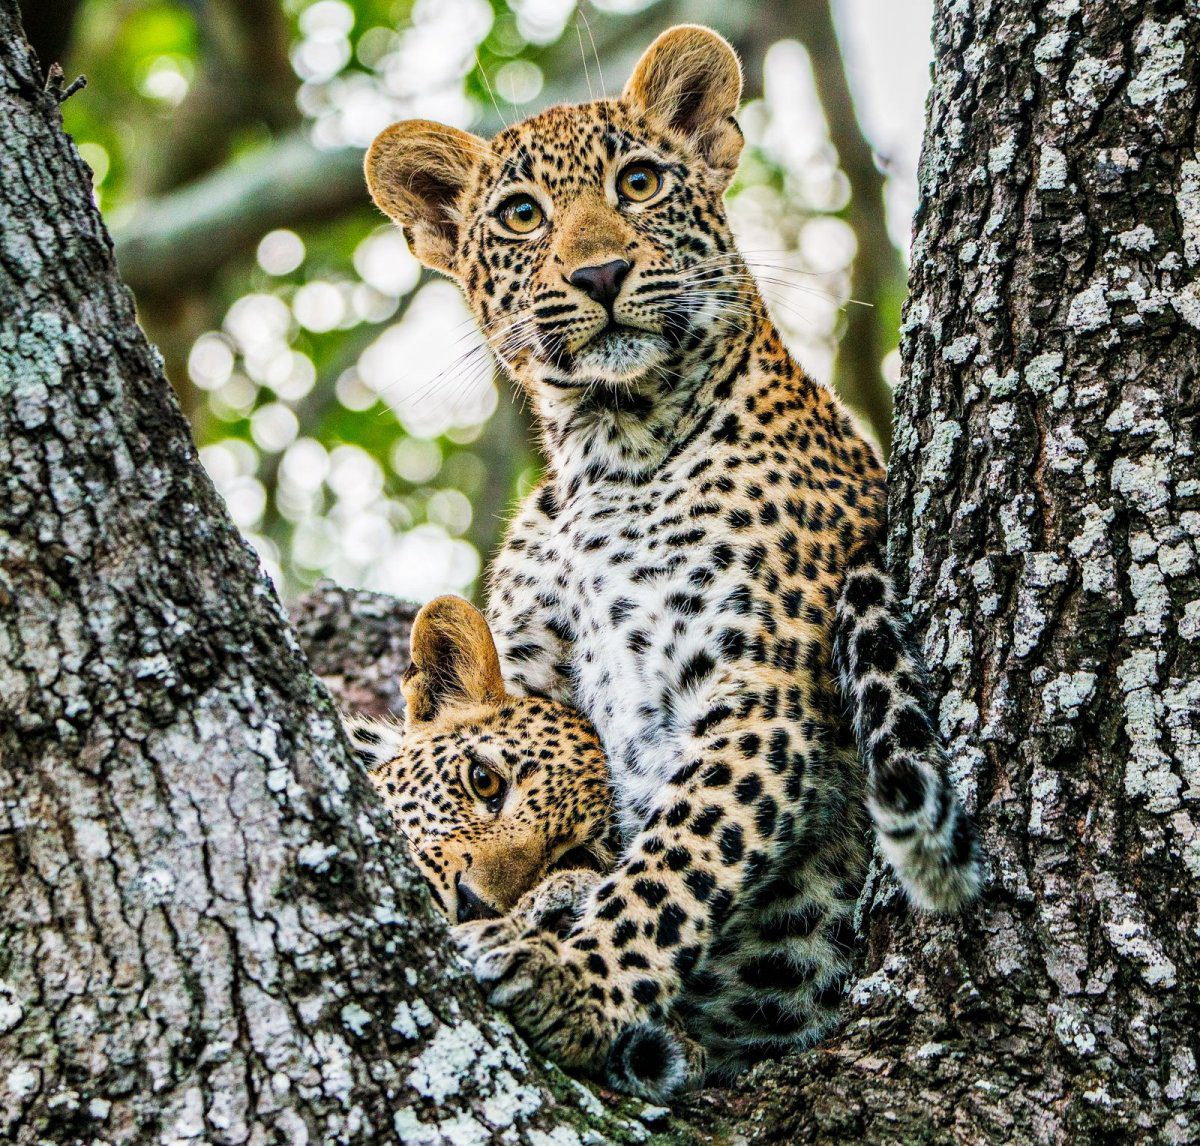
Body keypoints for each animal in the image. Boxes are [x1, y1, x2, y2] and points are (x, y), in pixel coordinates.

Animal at [360, 22, 979, 1104]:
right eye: (522, 215)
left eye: (640, 182)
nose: (600, 275)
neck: (605, 451)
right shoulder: (535, 670)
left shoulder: (756, 691)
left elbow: (673, 865)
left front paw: (579, 985)